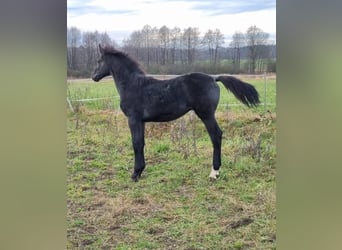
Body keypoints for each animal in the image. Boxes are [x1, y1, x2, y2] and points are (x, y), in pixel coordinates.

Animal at [91, 44, 260, 182]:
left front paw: (135, 174)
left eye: (99, 60)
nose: (93, 77)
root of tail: (214, 77)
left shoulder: (133, 119)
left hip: (206, 114)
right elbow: (142, 143)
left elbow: (136, 144)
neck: (133, 85)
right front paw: (140, 171)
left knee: (216, 136)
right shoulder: (141, 121)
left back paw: (214, 172)